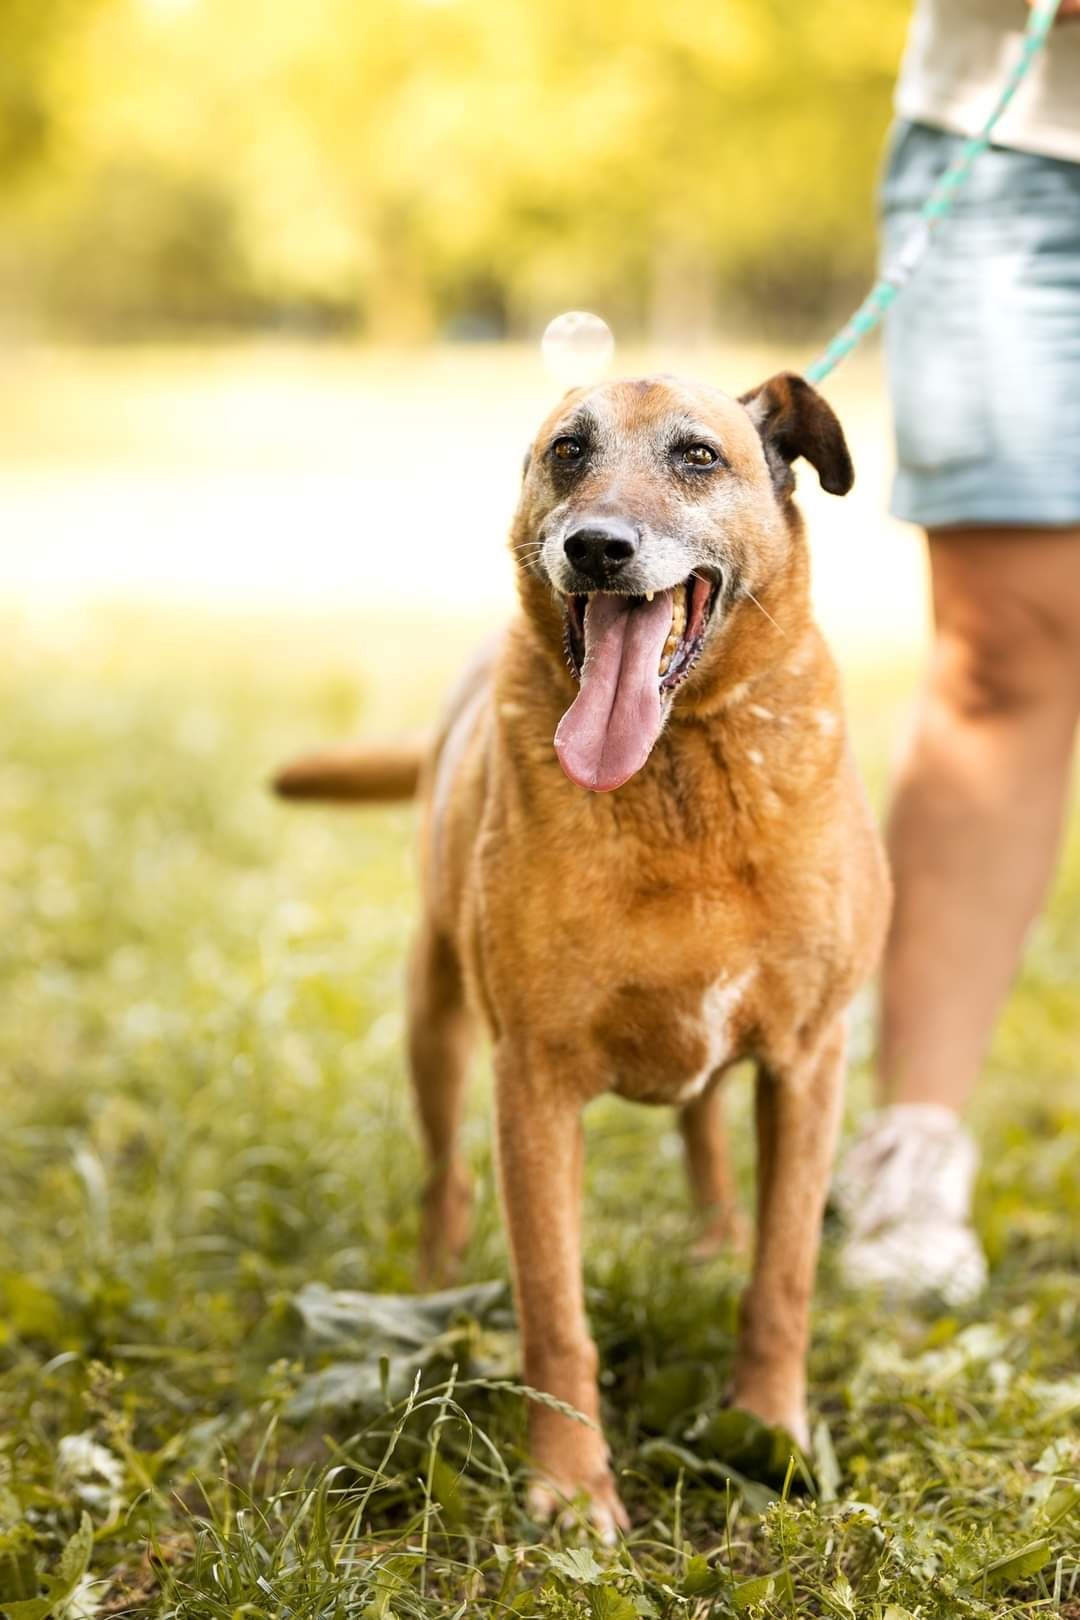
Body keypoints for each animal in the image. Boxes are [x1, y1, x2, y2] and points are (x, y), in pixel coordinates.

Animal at [275, 372, 893, 1535]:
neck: (680, 767)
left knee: (703, 1138)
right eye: (569, 451)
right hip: (434, 1019)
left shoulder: (808, 1062)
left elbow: (783, 1277)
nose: (597, 547)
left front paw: (771, 1429)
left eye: (698, 456)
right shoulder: (534, 1082)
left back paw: (711, 1239)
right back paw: (429, 1283)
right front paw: (569, 1489)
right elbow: (553, 1311)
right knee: (445, 1180)